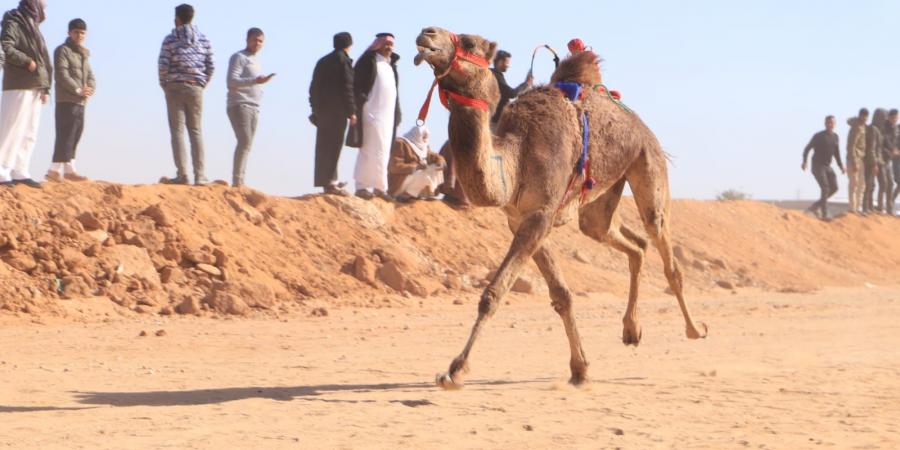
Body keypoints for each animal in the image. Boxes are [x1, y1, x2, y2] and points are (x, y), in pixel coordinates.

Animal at [412, 27, 708, 390]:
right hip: (599, 201)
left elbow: (494, 293)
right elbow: (562, 294)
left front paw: (454, 371)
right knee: (629, 241)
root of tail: (638, 123)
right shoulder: (522, 219)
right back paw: (631, 330)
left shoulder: (541, 215)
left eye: (469, 42)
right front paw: (580, 368)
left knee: (663, 247)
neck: (515, 157)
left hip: (647, 161)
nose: (426, 33)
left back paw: (694, 329)